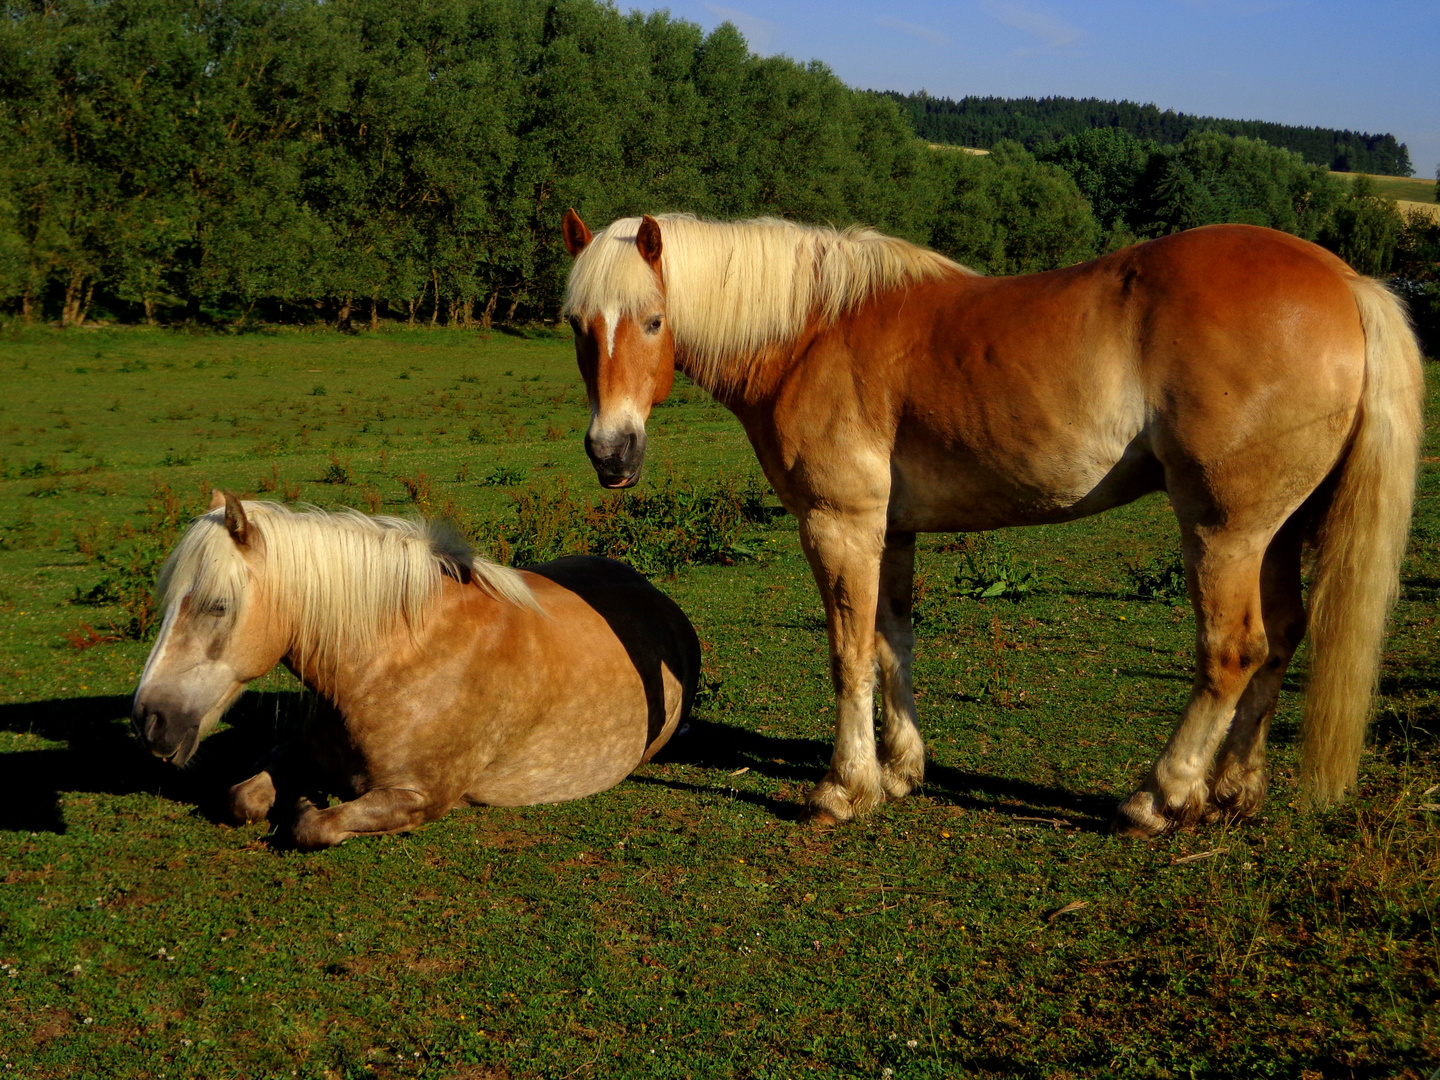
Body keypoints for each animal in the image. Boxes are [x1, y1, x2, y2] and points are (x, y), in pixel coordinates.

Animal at [132, 495, 705, 852]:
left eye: (218, 606)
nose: (148, 721)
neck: (397, 660)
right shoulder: (298, 749)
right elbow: (242, 797)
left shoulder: (419, 798)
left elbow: (311, 826)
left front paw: (308, 800)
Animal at [555, 211, 1422, 835]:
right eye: (576, 324)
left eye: (653, 321)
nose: (610, 452)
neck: (812, 333)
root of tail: (1345, 281)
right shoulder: (891, 530)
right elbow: (891, 642)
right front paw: (902, 771)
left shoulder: (839, 525)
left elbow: (847, 654)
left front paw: (844, 788)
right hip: (1277, 530)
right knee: (1281, 639)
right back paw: (1234, 790)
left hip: (1225, 530)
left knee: (1232, 651)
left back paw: (1160, 798)